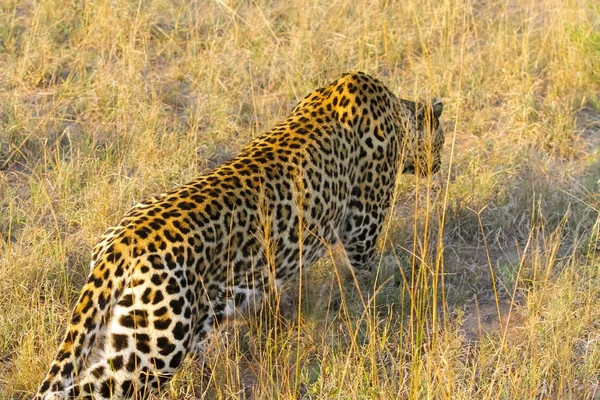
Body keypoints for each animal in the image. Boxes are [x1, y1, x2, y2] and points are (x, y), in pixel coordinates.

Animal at [35, 70, 442, 398]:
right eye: (440, 139)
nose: (439, 165)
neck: (398, 112)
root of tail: (120, 244)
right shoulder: (363, 222)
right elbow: (367, 273)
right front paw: (382, 294)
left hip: (133, 334)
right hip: (154, 347)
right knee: (86, 390)